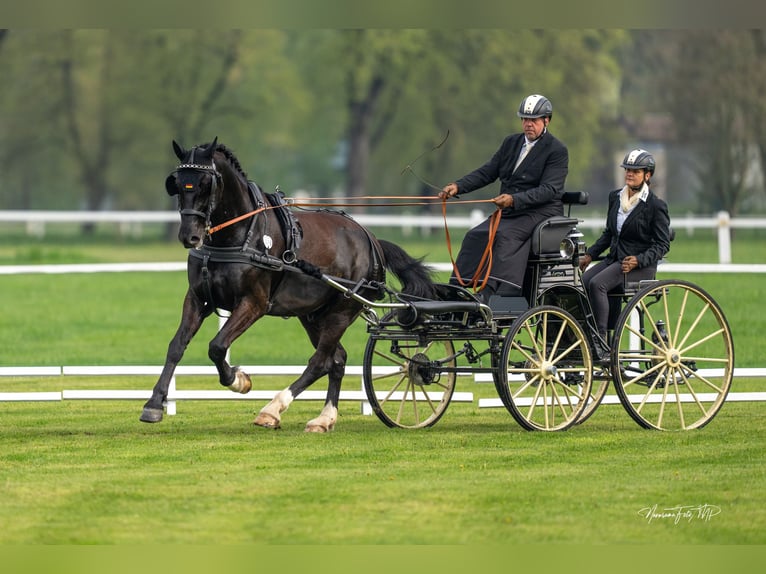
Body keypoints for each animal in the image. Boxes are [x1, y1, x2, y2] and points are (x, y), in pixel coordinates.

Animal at [140, 138, 437, 432]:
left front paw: (238, 380)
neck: (240, 235)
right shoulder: (197, 298)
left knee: (320, 361)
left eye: (206, 183)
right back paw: (324, 417)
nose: (189, 236)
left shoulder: (253, 303)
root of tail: (372, 240)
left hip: (342, 310)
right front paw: (154, 404)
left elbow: (217, 346)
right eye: (178, 183)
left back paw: (273, 409)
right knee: (336, 359)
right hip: (313, 315)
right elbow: (176, 346)